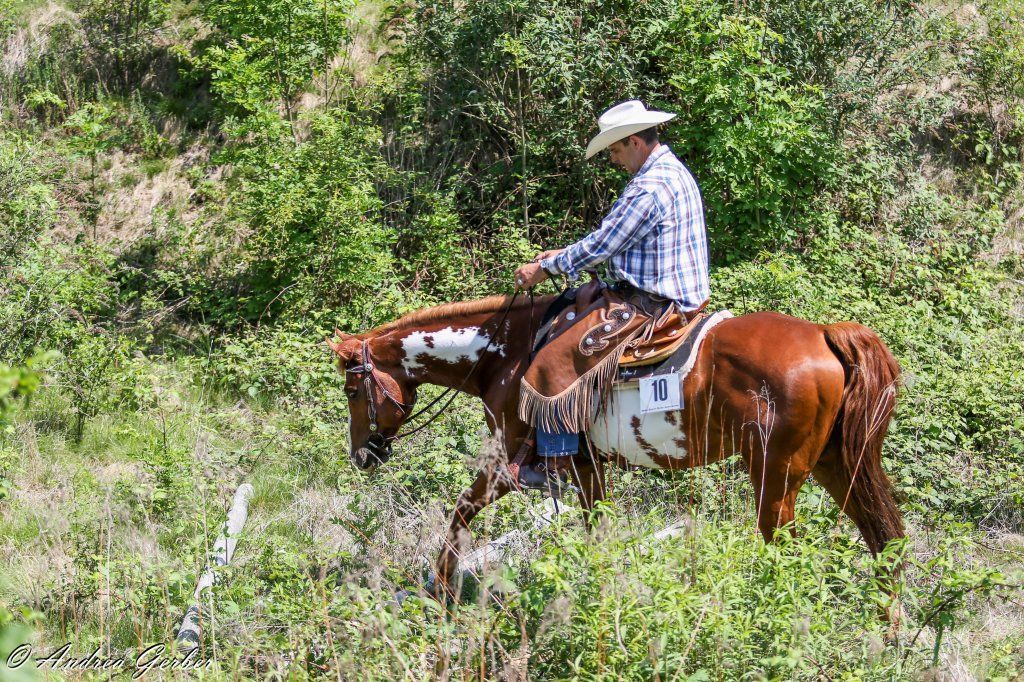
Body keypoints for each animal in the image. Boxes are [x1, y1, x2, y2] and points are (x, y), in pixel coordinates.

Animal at [327, 292, 905, 605]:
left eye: (352, 391)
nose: (362, 456)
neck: (504, 356)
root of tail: (825, 333)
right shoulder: (585, 466)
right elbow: (598, 528)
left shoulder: (509, 460)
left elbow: (461, 511)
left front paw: (441, 590)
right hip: (836, 464)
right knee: (885, 538)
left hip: (775, 474)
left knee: (787, 548)